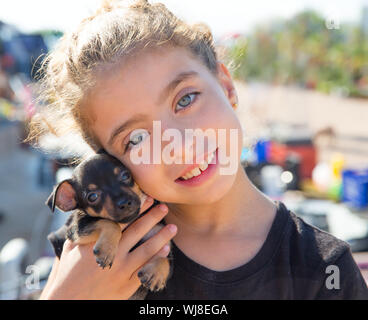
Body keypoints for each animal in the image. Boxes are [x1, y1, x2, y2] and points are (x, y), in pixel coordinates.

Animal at [46, 150, 172, 298]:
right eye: (92, 197)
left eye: (126, 175)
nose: (124, 203)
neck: (131, 220)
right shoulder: (77, 229)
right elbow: (111, 224)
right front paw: (106, 250)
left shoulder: (159, 232)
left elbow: (166, 255)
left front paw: (157, 273)